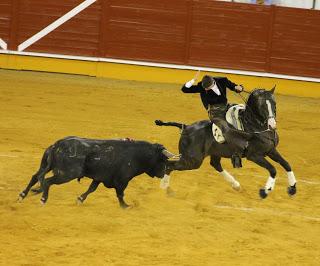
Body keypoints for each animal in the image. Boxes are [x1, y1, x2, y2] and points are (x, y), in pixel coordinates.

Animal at [19, 137, 178, 208]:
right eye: (163, 160)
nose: (164, 173)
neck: (136, 155)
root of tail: (57, 144)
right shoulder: (122, 181)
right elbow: (120, 194)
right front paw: (125, 206)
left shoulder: (100, 177)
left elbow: (91, 189)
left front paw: (80, 199)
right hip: (66, 174)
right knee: (46, 181)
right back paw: (43, 199)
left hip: (46, 166)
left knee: (35, 177)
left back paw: (22, 195)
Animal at [155, 87, 298, 197]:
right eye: (261, 105)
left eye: (274, 104)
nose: (272, 125)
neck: (255, 126)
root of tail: (186, 127)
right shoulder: (254, 156)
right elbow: (273, 169)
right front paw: (265, 191)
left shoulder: (271, 150)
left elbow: (286, 164)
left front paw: (292, 188)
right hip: (192, 160)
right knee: (170, 165)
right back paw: (165, 188)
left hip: (211, 154)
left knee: (215, 164)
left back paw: (236, 185)